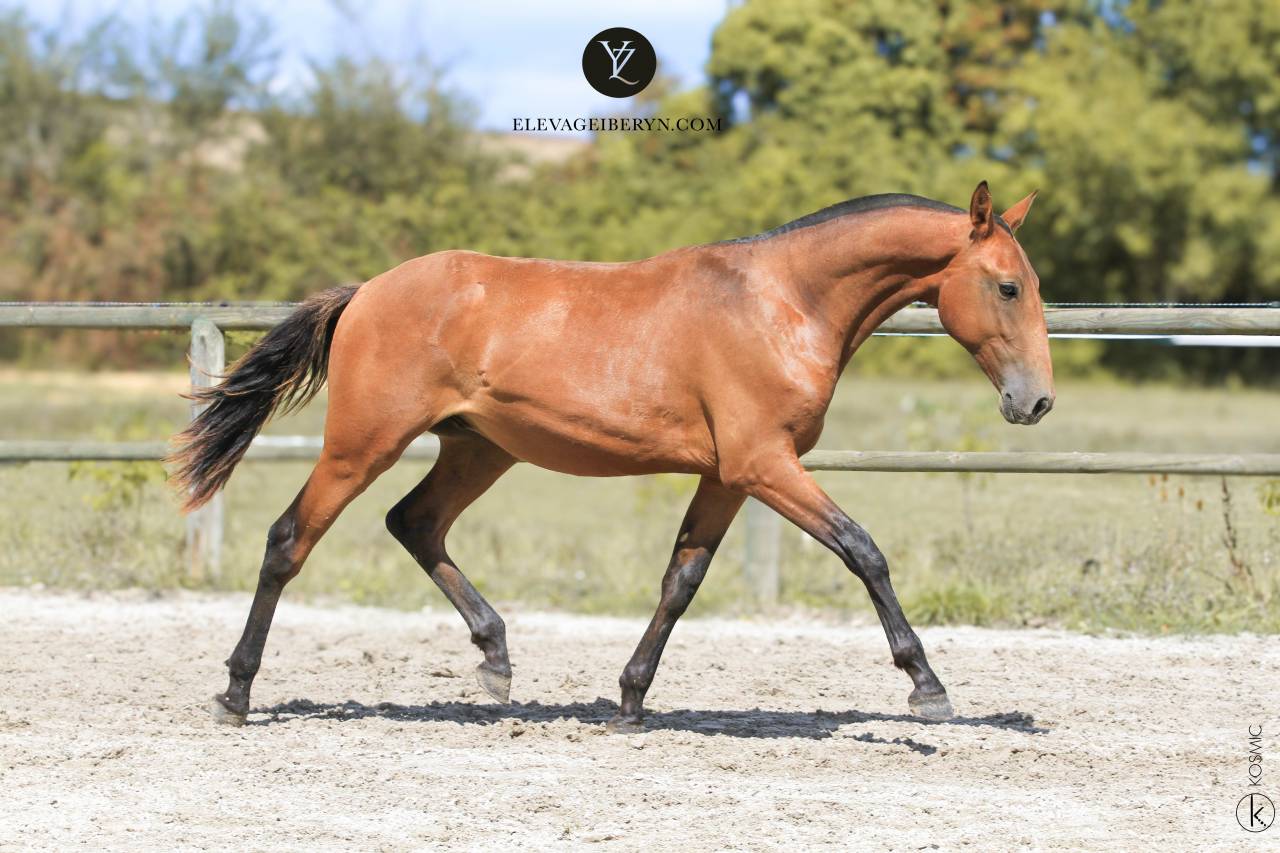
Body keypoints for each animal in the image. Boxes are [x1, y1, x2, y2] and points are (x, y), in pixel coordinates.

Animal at [170, 181, 1052, 731]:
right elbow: (864, 550)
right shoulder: (765, 465)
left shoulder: (728, 476)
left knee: (414, 523)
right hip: (363, 444)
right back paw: (235, 692)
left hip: (477, 450)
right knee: (289, 540)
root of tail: (365, 292)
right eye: (1008, 286)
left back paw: (496, 658)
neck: (782, 302)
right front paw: (928, 688)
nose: (1034, 401)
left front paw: (629, 701)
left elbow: (681, 580)